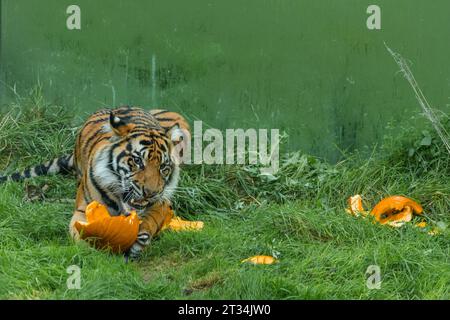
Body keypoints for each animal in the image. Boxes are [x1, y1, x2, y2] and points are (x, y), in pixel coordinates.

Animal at [0, 106, 191, 262]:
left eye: (164, 168)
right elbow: (79, 233)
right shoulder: (82, 210)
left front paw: (141, 238)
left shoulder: (163, 202)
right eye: (137, 161)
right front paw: (92, 255)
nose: (150, 193)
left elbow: (152, 218)